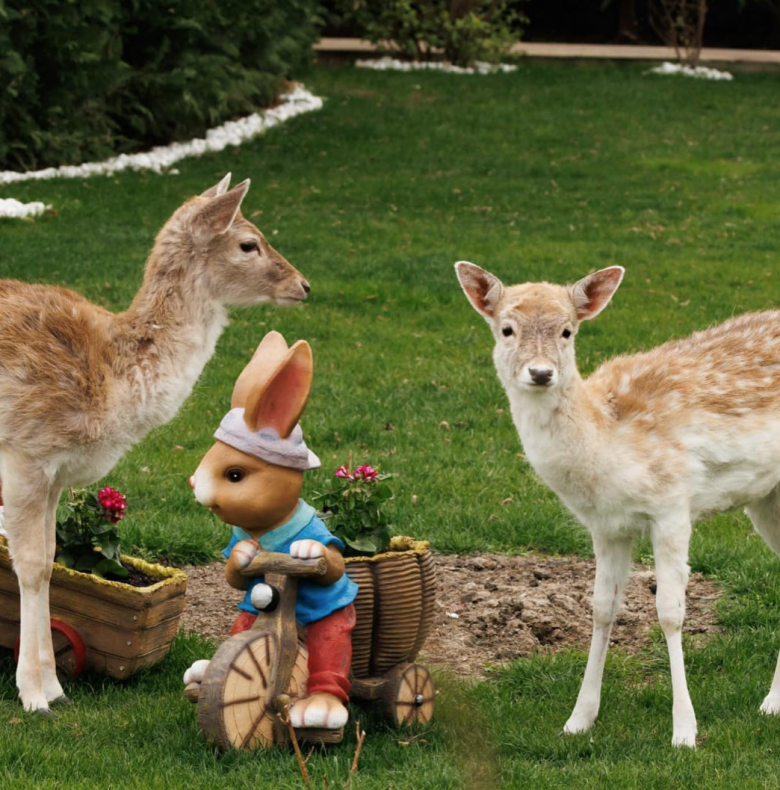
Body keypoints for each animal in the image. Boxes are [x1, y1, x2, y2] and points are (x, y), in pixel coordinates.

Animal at [0, 175, 310, 716]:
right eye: (248, 243)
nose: (304, 285)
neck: (115, 380)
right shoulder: (25, 450)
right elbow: (34, 566)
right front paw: (34, 696)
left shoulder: (57, 471)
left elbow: (54, 556)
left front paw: (55, 687)